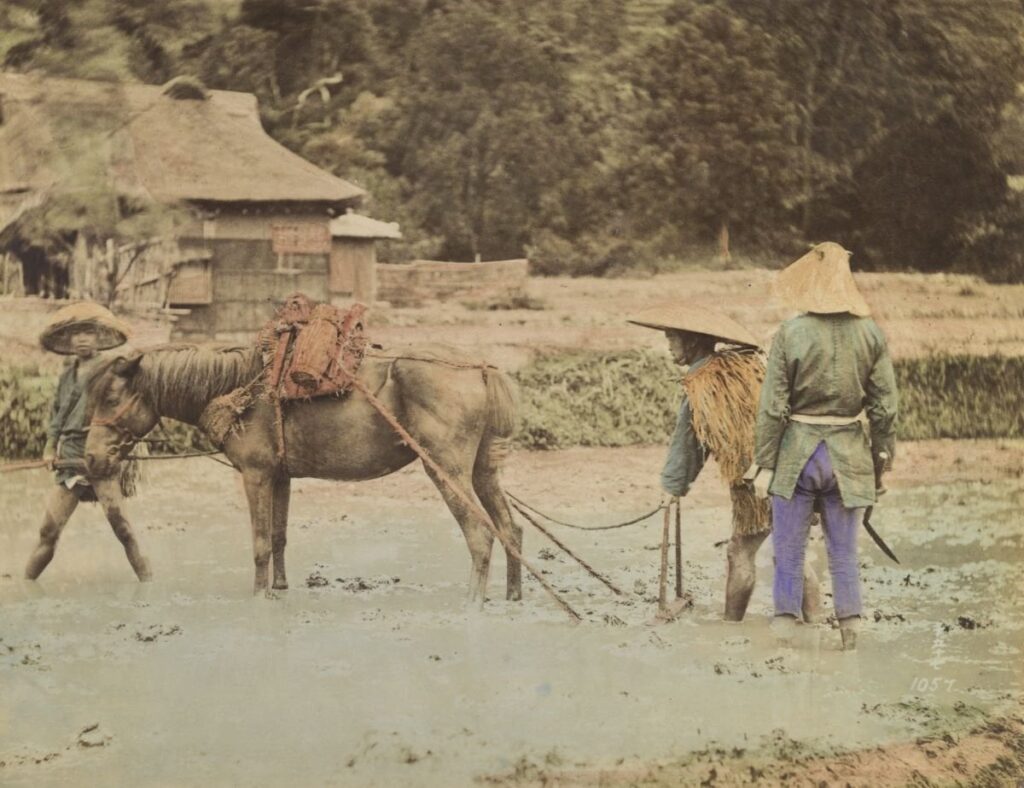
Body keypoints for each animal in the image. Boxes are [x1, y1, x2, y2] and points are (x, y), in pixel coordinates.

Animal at [83, 343, 522, 601]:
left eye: (111, 398)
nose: (90, 458)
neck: (240, 390)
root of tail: (479, 369)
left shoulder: (255, 475)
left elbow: (260, 544)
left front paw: (258, 599)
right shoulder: (281, 476)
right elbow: (278, 538)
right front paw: (279, 591)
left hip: (445, 469)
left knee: (480, 534)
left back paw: (472, 603)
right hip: (482, 471)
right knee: (509, 529)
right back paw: (513, 596)